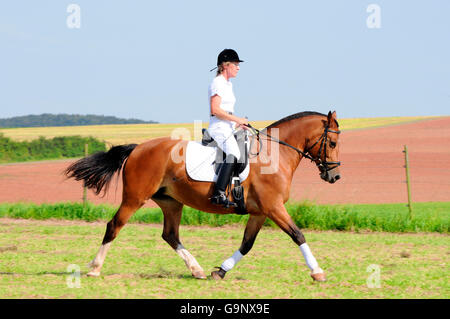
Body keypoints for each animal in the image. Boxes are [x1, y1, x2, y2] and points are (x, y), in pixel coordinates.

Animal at [66, 110, 342, 282]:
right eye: (333, 143)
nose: (335, 176)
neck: (274, 155)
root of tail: (138, 148)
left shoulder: (260, 212)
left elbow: (247, 244)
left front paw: (220, 271)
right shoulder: (273, 208)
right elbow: (298, 235)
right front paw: (318, 272)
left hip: (171, 202)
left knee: (170, 235)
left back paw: (196, 269)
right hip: (135, 198)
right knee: (115, 225)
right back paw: (94, 269)